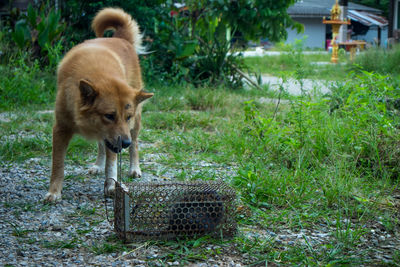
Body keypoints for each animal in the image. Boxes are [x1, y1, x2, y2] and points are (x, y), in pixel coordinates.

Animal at [44, 7, 152, 202]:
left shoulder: (119, 136)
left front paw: (110, 186)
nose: (124, 143)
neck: (98, 75)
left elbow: (112, 164)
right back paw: (98, 165)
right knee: (102, 145)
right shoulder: (60, 129)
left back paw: (134, 168)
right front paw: (54, 192)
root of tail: (120, 38)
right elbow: (58, 165)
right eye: (109, 116)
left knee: (135, 144)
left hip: (135, 124)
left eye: (127, 117)